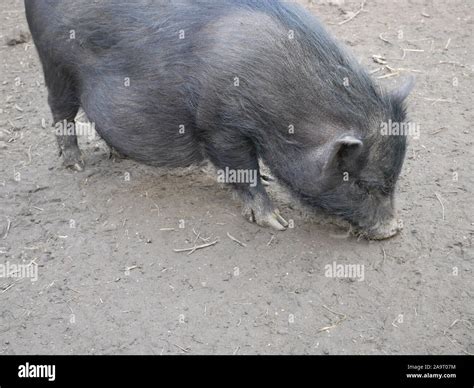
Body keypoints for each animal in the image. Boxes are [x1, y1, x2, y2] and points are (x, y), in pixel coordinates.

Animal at [25, 0, 414, 239]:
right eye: (362, 183)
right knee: (60, 113)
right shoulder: (219, 126)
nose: (394, 230)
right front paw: (278, 223)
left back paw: (116, 156)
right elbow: (242, 169)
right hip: (55, 67)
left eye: (393, 181)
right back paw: (75, 165)